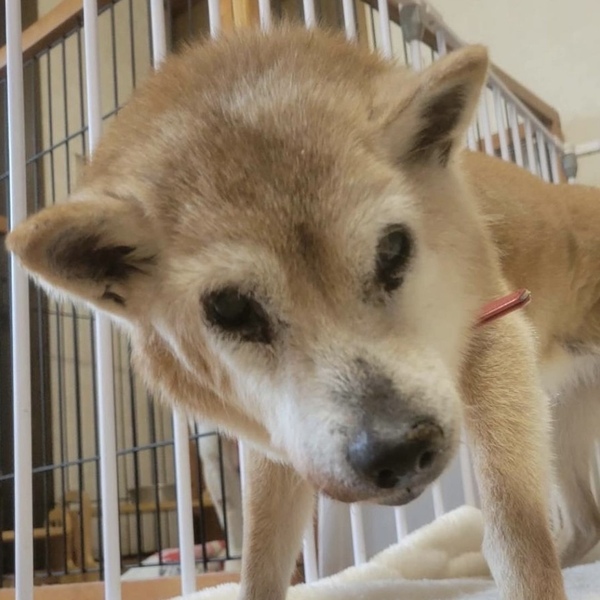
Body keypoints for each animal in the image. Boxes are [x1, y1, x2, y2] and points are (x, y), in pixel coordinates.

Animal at [7, 26, 600, 600]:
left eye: (393, 249)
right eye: (230, 308)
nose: (397, 449)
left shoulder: (494, 334)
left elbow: (516, 537)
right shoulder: (278, 443)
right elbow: (261, 563)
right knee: (586, 523)